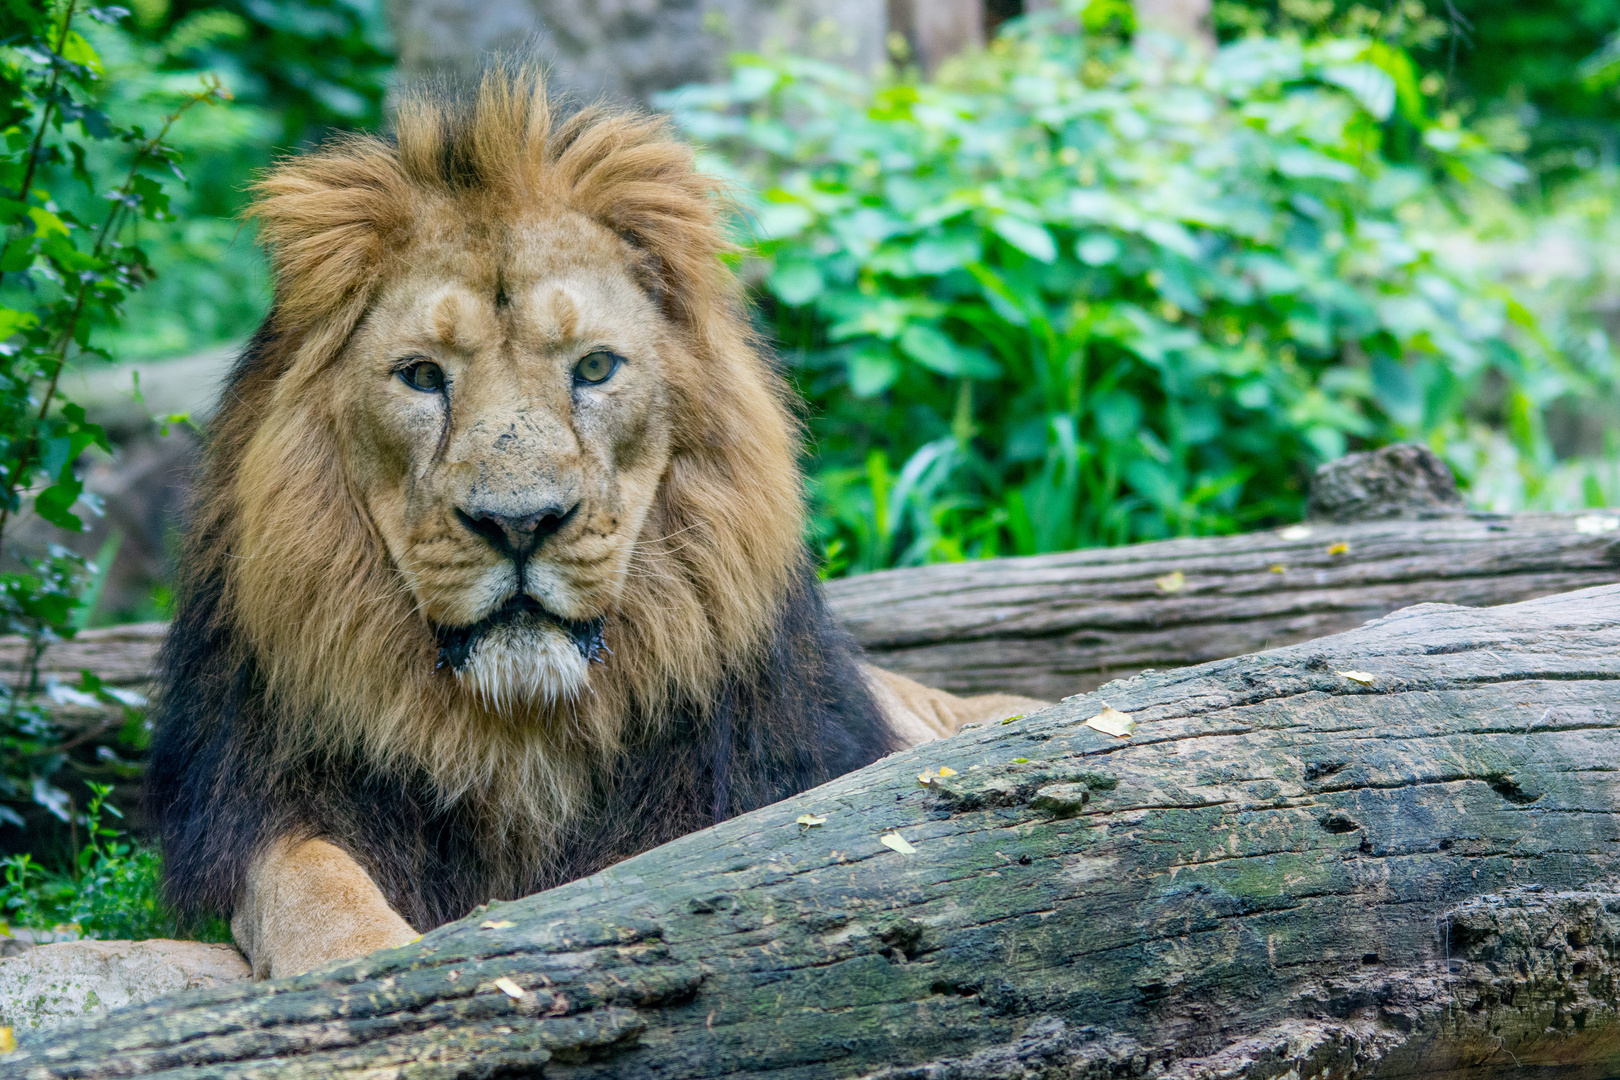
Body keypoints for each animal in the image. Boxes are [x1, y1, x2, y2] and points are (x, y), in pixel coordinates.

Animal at [145, 69, 1043, 977]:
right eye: (422, 377)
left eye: (597, 367)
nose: (519, 524)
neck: (520, 741)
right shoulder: (254, 806)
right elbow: (308, 875)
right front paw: (359, 969)